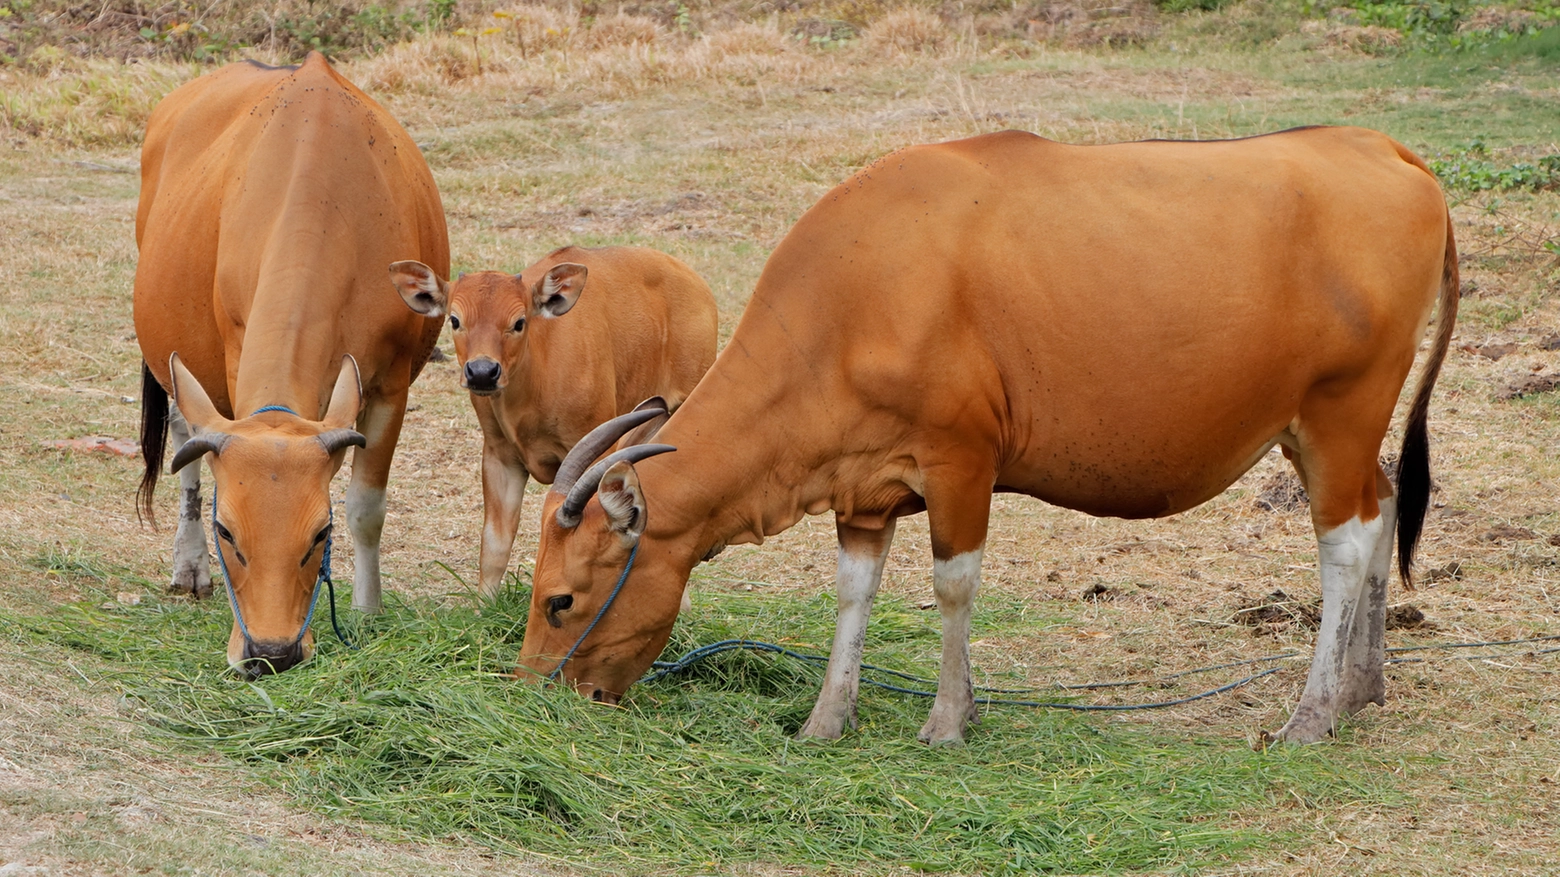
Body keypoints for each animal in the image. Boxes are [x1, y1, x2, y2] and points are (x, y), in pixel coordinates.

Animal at [133, 51, 452, 671]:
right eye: (227, 532)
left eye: (320, 534)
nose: (270, 652)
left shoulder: (391, 385)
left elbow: (367, 506)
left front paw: (367, 611)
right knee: (185, 439)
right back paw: (189, 567)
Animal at [386, 249, 714, 596]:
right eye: (455, 320)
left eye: (519, 322)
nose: (482, 372)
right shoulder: (500, 456)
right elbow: (494, 544)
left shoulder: (595, 446)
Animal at [517, 126, 1453, 742]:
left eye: (559, 599)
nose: (533, 690)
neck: (856, 299)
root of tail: (1384, 149)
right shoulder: (864, 487)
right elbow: (854, 594)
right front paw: (827, 717)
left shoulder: (961, 461)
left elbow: (953, 586)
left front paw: (947, 717)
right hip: (1320, 429)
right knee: (1383, 507)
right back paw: (1362, 686)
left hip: (1339, 412)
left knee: (1347, 544)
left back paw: (1311, 713)